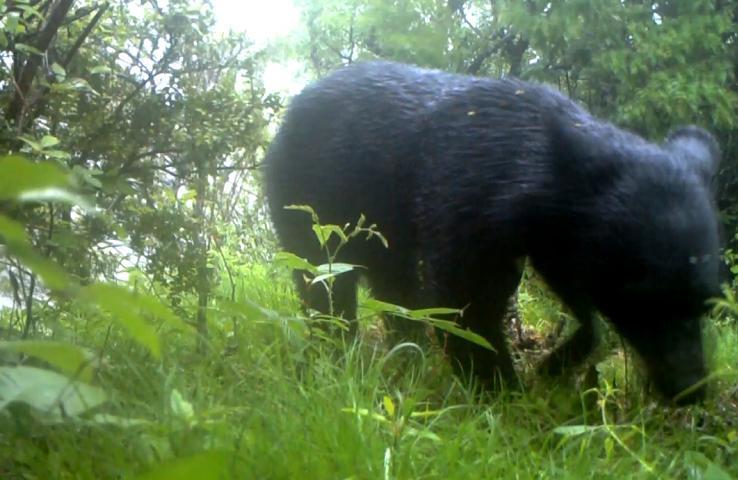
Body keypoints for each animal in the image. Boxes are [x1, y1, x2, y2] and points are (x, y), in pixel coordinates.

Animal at [264, 61, 720, 404]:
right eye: (645, 300)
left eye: (706, 304)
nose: (691, 389)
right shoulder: (467, 200)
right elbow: (466, 301)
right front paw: (501, 387)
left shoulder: (550, 239)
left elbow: (574, 300)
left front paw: (555, 361)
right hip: (311, 206)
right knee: (325, 288)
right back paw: (339, 350)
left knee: (395, 290)